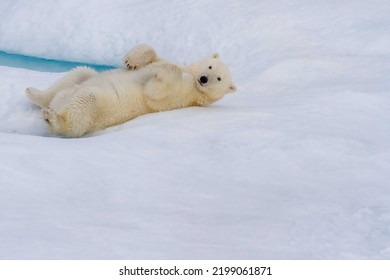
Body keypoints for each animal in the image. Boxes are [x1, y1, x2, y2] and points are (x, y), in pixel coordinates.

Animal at [26, 43, 238, 138]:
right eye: (210, 66)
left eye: (219, 78)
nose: (203, 78)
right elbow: (153, 56)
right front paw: (132, 61)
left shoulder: (183, 96)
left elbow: (153, 93)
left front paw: (161, 70)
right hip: (75, 84)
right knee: (79, 73)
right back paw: (34, 93)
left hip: (100, 108)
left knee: (85, 103)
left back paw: (53, 118)